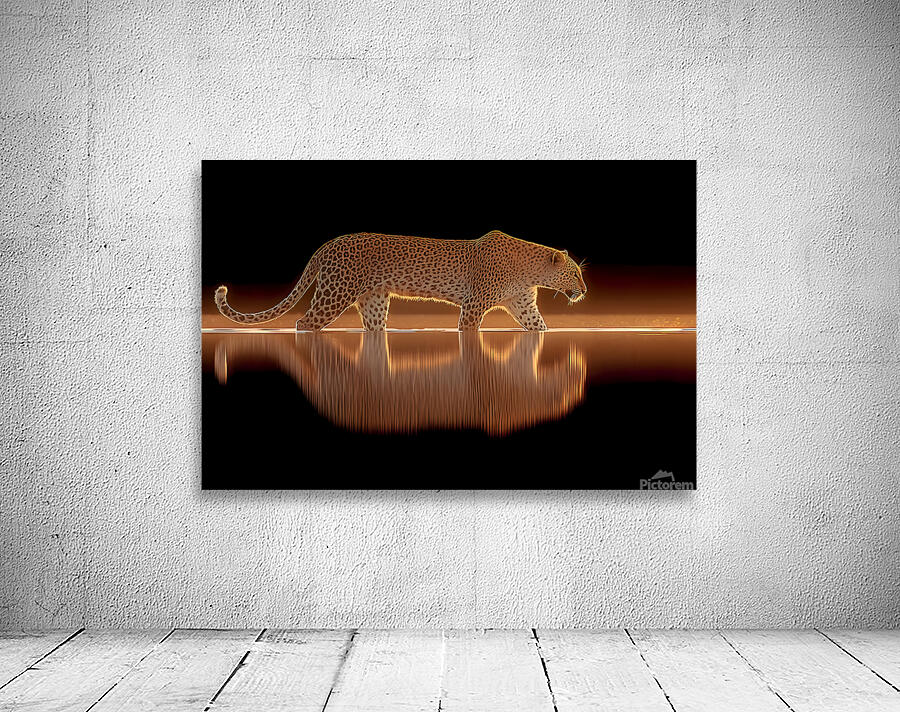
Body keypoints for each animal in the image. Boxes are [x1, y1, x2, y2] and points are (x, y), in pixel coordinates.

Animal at [214, 230, 587, 331]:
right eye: (575, 272)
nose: (584, 290)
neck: (530, 270)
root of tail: (329, 243)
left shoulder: (522, 304)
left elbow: (539, 327)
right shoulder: (473, 305)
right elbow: (467, 332)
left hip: (374, 301)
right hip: (335, 293)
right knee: (304, 322)